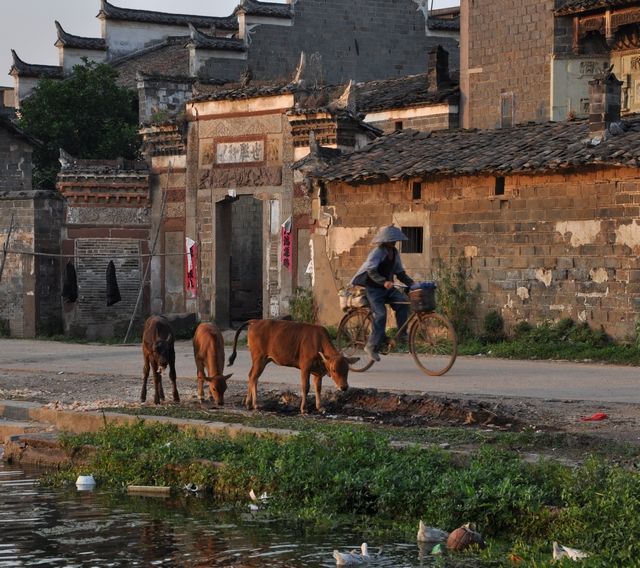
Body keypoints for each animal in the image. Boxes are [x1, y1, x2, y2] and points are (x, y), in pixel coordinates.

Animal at [228, 318, 358, 414]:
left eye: (347, 370)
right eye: (334, 370)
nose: (344, 387)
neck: (319, 342)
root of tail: (255, 321)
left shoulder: (317, 372)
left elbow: (318, 388)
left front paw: (320, 407)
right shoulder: (305, 367)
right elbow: (306, 387)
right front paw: (303, 409)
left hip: (263, 360)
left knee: (252, 376)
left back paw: (249, 403)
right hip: (259, 358)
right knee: (253, 377)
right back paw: (253, 404)